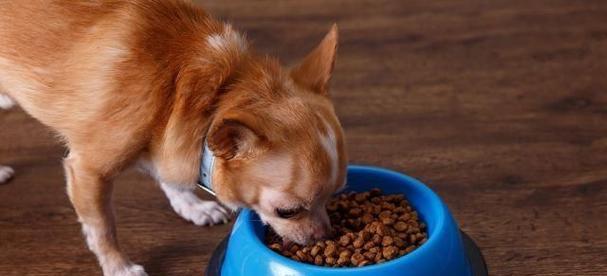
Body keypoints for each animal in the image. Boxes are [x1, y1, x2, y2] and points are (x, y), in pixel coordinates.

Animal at [0, 1, 346, 274]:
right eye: (287, 212)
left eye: (335, 194)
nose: (325, 237)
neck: (209, 95)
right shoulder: (88, 171)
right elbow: (102, 228)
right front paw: (119, 267)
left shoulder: (169, 138)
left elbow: (170, 178)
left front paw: (192, 206)